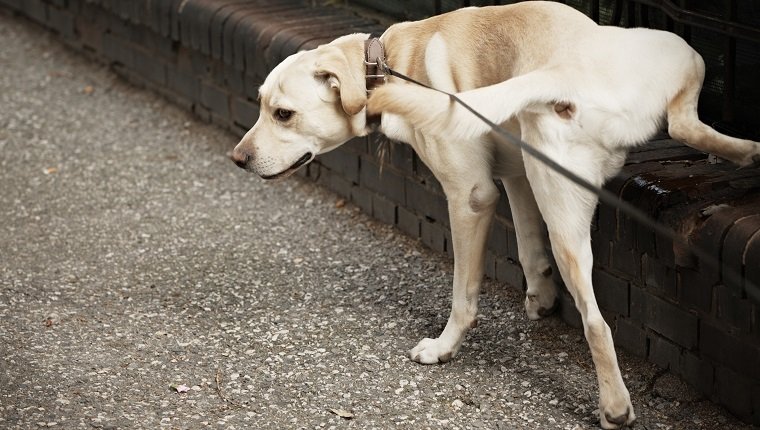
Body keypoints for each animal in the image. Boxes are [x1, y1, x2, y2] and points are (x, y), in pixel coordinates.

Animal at [233, 1, 760, 428]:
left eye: (282, 113)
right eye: (260, 104)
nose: (237, 158)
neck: (389, 62)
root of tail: (566, 70)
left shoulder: (472, 196)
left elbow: (464, 295)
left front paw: (444, 347)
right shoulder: (518, 174)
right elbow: (528, 246)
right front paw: (540, 295)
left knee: (596, 323)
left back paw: (613, 408)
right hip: (673, 61)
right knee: (686, 125)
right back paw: (747, 151)